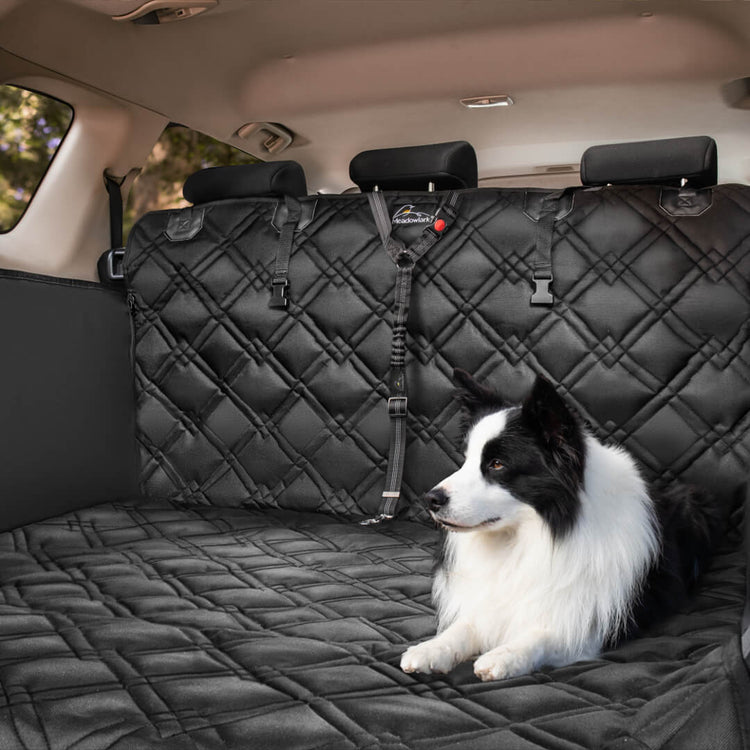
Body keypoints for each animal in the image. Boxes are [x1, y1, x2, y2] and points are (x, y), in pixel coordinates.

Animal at [402, 374, 720, 684]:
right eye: (466, 460)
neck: (533, 533)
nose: (431, 499)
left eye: (497, 464)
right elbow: (466, 625)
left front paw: (505, 655)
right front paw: (431, 649)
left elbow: (546, 633)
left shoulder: (593, 623)